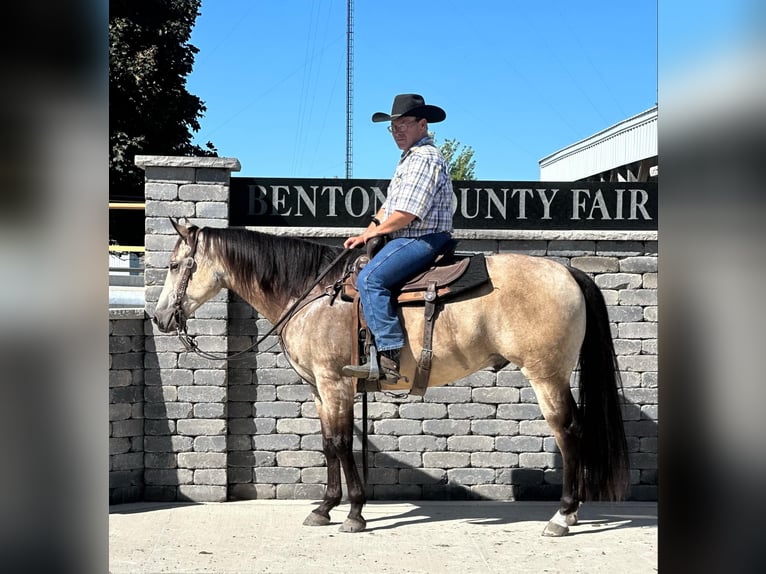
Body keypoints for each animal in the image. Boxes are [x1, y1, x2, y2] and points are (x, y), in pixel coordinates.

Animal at [152, 218, 632, 536]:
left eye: (175, 265)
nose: (158, 318)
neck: (310, 294)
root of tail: (567, 271)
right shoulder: (319, 390)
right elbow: (328, 445)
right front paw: (325, 507)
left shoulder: (336, 383)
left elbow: (342, 443)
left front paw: (354, 513)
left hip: (547, 374)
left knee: (569, 433)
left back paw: (563, 515)